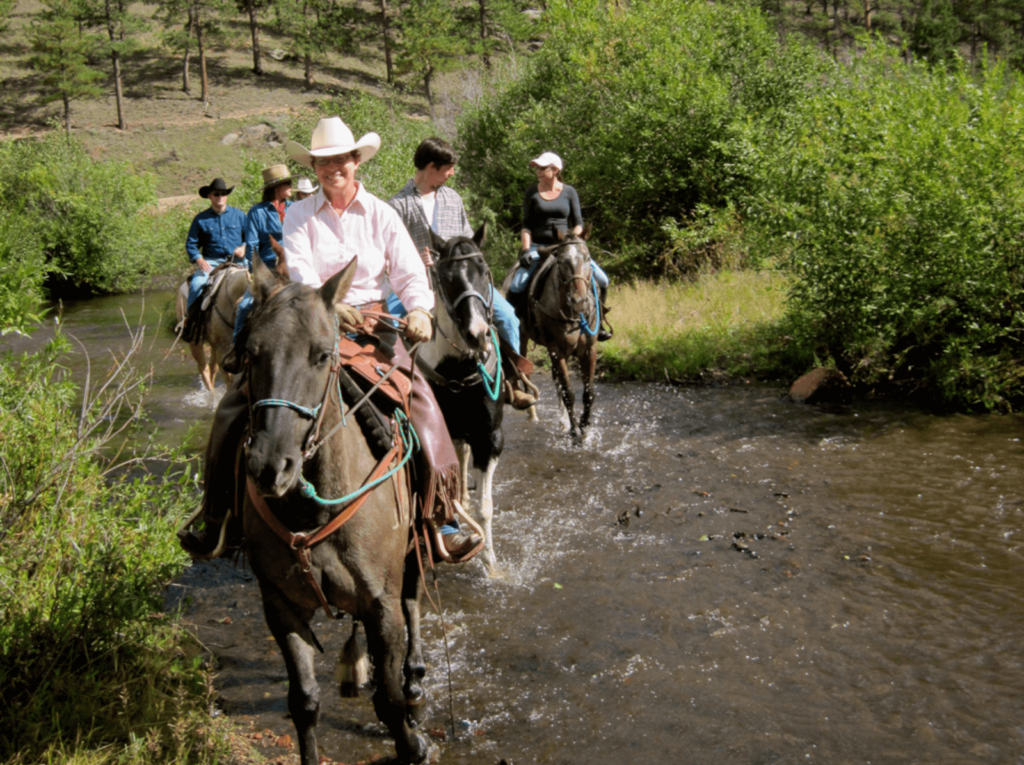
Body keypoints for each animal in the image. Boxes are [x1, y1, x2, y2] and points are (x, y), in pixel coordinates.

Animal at [239, 259, 428, 765]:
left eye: (323, 355)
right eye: (251, 353)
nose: (270, 467)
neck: (315, 510)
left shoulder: (382, 604)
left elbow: (390, 699)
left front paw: (414, 745)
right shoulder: (280, 607)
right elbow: (304, 702)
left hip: (414, 549)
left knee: (413, 601)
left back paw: (415, 673)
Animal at [415, 224, 503, 573]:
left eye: (484, 270)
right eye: (447, 277)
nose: (478, 334)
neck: (460, 370)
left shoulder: (490, 438)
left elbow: (486, 508)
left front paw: (493, 567)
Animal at [516, 230, 598, 446]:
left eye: (588, 258)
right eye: (561, 261)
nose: (579, 301)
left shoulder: (589, 350)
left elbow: (588, 394)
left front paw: (584, 427)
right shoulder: (556, 350)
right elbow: (569, 393)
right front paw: (575, 433)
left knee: (556, 382)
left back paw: (562, 422)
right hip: (522, 340)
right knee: (525, 374)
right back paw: (533, 413)